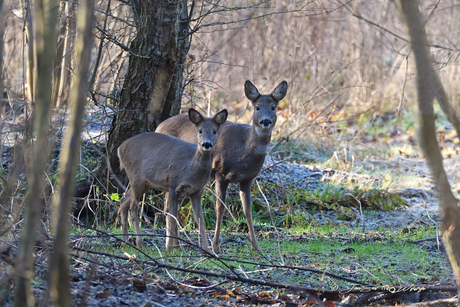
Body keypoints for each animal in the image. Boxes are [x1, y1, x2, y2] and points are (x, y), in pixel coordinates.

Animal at [117, 108, 227, 253]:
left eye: (215, 131)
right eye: (200, 130)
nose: (206, 144)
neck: (191, 166)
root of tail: (119, 149)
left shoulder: (196, 192)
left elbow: (200, 220)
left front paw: (207, 250)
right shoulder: (173, 186)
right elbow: (172, 216)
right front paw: (169, 248)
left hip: (144, 183)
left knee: (124, 201)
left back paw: (125, 243)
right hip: (137, 178)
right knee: (133, 206)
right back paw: (139, 243)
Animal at [158, 80, 288, 254]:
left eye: (274, 107)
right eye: (257, 107)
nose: (265, 121)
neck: (244, 149)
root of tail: (158, 126)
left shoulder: (247, 179)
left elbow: (248, 211)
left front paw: (256, 247)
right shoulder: (221, 172)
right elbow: (220, 208)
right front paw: (215, 246)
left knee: (171, 205)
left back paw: (177, 244)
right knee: (167, 205)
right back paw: (174, 244)